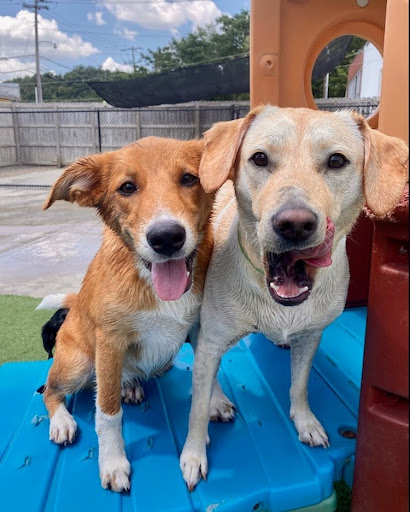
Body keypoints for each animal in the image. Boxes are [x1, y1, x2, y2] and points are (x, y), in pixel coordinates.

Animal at [36, 136, 231, 492]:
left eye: (189, 178)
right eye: (127, 187)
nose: (166, 238)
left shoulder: (201, 329)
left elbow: (208, 372)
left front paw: (216, 400)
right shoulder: (110, 344)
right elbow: (107, 413)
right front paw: (113, 463)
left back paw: (130, 386)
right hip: (79, 363)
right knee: (50, 389)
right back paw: (62, 421)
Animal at [180, 106, 410, 490]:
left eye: (336, 161)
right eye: (259, 158)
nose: (294, 224)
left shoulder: (311, 335)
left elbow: (299, 385)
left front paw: (305, 421)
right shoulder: (212, 340)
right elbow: (196, 405)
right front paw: (193, 453)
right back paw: (217, 401)